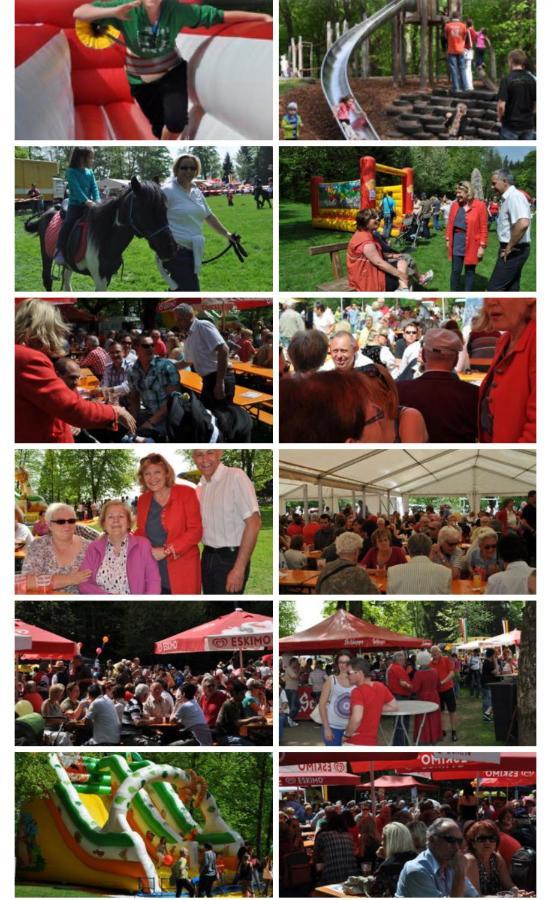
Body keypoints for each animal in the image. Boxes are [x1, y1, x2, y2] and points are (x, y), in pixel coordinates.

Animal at [24, 175, 177, 288]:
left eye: (165, 208)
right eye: (146, 210)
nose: (170, 248)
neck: (106, 239)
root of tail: (47, 212)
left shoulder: (107, 277)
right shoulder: (100, 279)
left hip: (69, 264)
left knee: (66, 281)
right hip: (46, 255)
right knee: (47, 280)